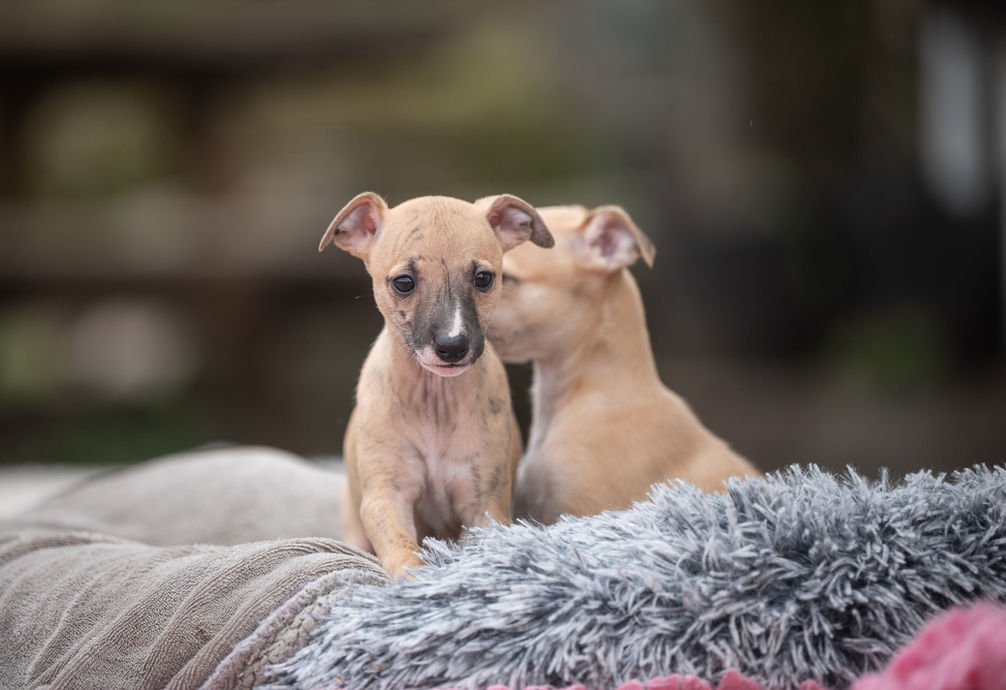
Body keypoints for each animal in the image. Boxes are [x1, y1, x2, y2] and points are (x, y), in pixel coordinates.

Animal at [319, 192, 554, 577]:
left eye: (484, 278)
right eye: (403, 282)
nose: (452, 346)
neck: (435, 400)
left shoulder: (483, 504)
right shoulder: (385, 497)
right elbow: (404, 551)